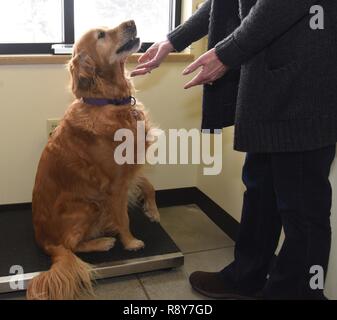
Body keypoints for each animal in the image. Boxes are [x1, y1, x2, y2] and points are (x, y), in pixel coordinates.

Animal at [25, 20, 159, 300]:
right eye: (101, 35)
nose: (132, 22)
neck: (110, 101)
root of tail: (45, 243)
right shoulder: (115, 184)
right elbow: (123, 217)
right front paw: (130, 242)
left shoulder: (130, 166)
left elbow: (149, 185)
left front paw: (152, 210)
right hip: (89, 205)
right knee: (72, 246)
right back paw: (103, 241)